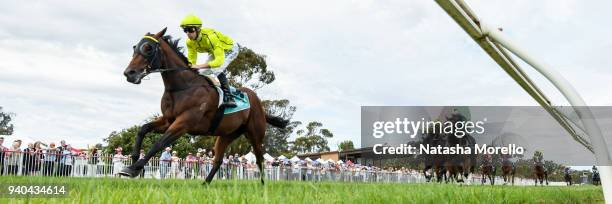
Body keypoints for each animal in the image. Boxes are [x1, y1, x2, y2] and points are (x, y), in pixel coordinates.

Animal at [121, 27, 290, 184]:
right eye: (135, 47)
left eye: (148, 48)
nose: (129, 73)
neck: (182, 87)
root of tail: (258, 102)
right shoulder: (168, 120)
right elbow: (143, 129)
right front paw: (134, 160)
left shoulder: (184, 123)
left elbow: (159, 143)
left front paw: (133, 168)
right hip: (226, 135)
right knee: (218, 160)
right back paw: (205, 184)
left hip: (255, 134)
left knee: (260, 159)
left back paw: (263, 186)